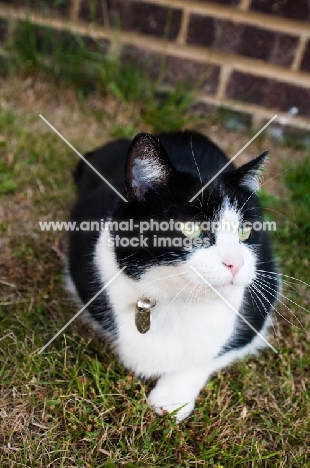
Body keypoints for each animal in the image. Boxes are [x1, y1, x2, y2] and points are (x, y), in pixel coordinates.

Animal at [66, 131, 280, 420]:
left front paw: (171, 399)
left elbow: (211, 354)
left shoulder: (261, 304)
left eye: (245, 231)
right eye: (191, 228)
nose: (236, 263)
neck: (178, 300)